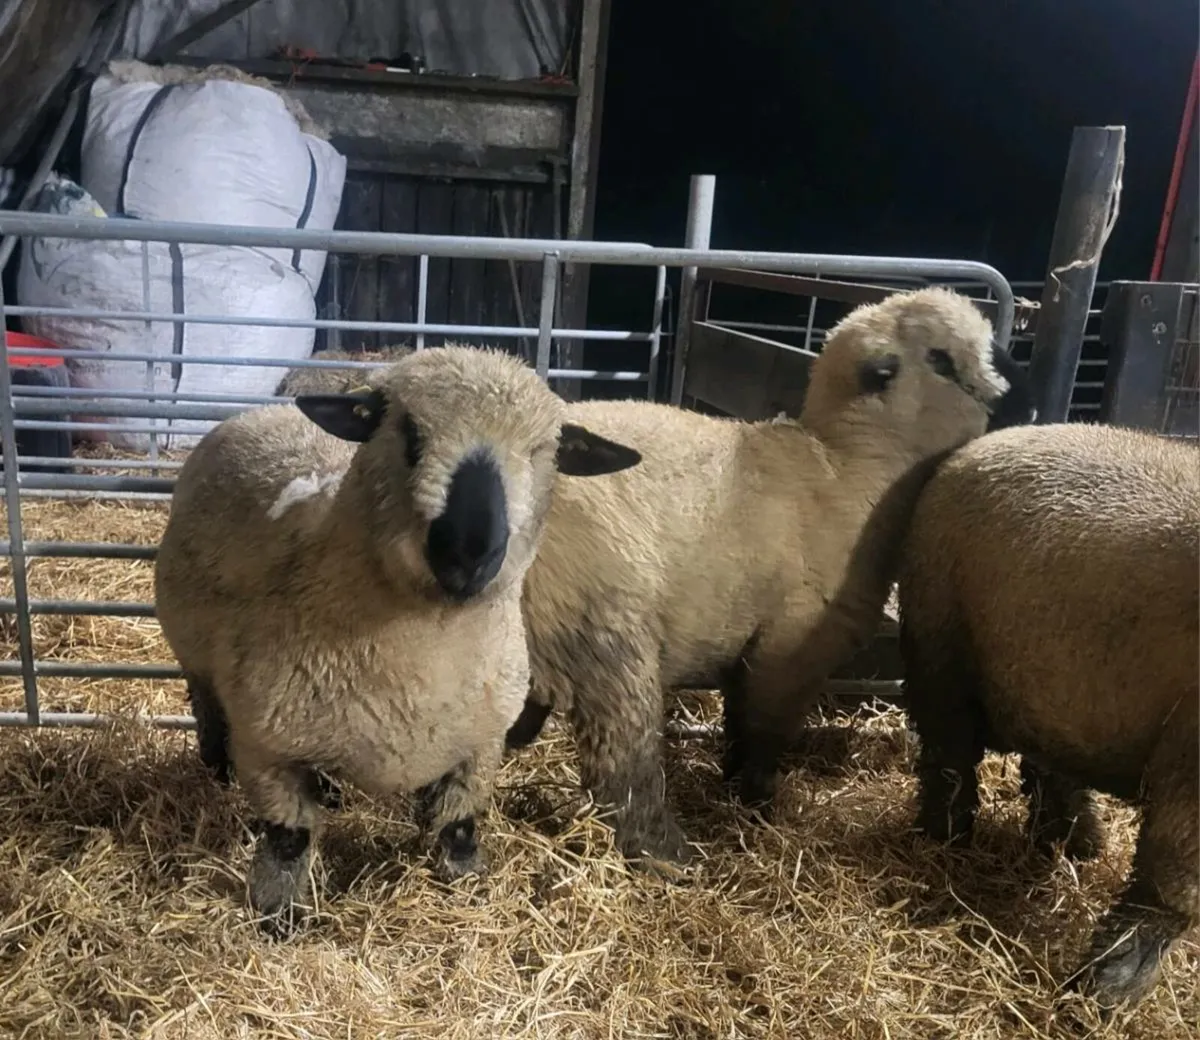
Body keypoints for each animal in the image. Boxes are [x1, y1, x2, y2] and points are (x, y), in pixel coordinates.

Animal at [153, 344, 642, 930]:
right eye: (409, 433)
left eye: (543, 452)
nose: (469, 550)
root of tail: (265, 412)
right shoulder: (266, 747)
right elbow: (289, 838)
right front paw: (277, 913)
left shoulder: (479, 746)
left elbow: (458, 828)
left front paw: (466, 888)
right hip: (195, 659)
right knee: (207, 710)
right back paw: (217, 768)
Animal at [505, 287, 1036, 866]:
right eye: (941, 358)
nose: (1029, 400)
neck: (848, 472)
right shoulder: (791, 648)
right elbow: (762, 734)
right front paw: (757, 806)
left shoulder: (756, 648)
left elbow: (741, 726)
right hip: (601, 627)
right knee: (624, 760)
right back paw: (667, 853)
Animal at [896, 420, 1199, 1009]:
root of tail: (996, 437)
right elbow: (1173, 885)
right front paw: (1108, 988)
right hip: (941, 641)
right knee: (949, 756)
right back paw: (947, 835)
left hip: (1047, 676)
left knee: (1048, 759)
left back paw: (1074, 839)